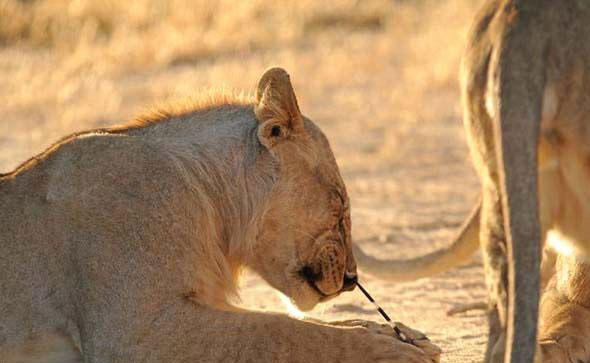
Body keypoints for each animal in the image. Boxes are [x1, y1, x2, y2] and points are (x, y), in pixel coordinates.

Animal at [0, 68, 440, 363]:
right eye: (340, 204)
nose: (352, 279)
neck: (209, 205)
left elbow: (304, 325)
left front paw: (398, 333)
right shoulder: (133, 334)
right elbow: (284, 331)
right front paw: (394, 350)